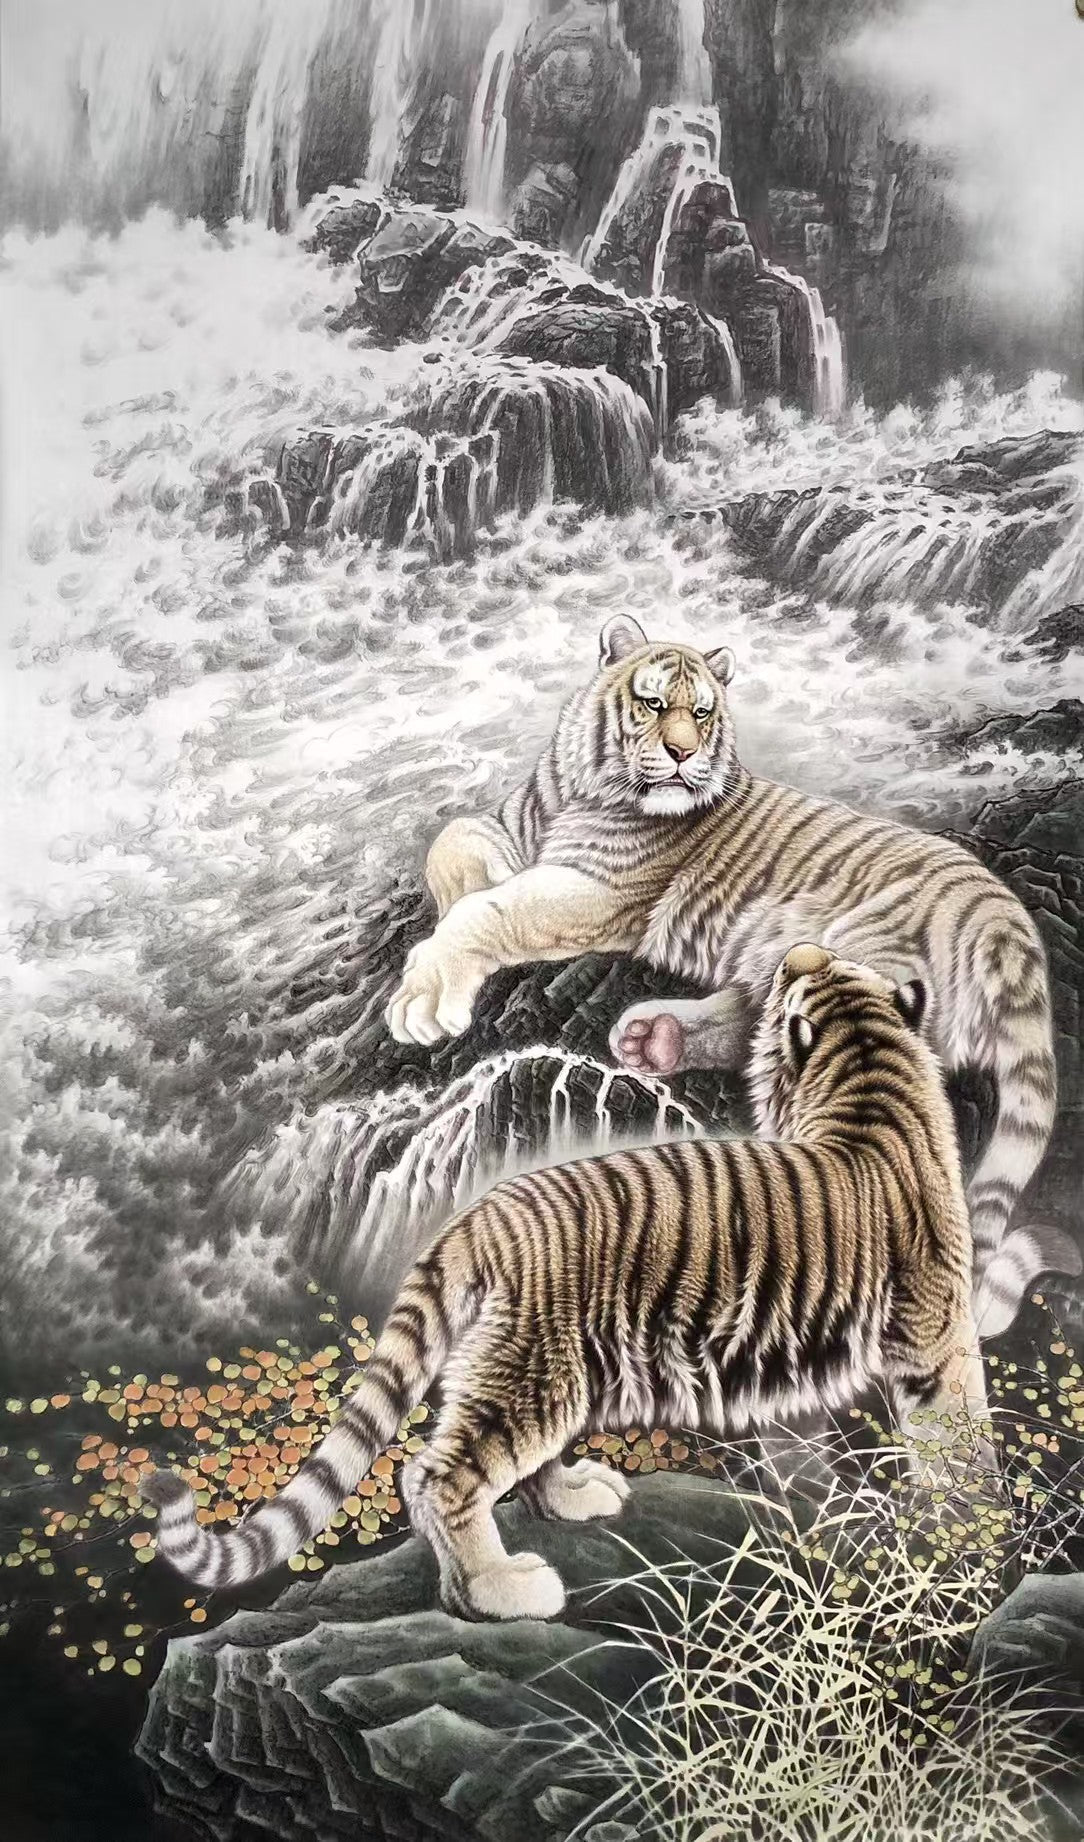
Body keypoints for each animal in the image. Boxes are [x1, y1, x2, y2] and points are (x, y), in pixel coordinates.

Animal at [146, 945, 994, 1618]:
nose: (796, 954)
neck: (868, 1073)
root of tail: (484, 1210)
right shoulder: (936, 1337)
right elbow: (961, 1436)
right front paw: (976, 1528)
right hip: (535, 1374)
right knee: (434, 1478)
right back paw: (498, 1592)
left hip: (547, 1368)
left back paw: (576, 1499)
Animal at [386, 614, 1077, 1338]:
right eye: (653, 703)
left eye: (701, 713)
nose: (682, 755)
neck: (579, 788)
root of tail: (1007, 924)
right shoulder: (512, 824)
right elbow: (454, 845)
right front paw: (471, 887)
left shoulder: (601, 891)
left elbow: (496, 910)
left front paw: (425, 998)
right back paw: (652, 1039)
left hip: (856, 960)